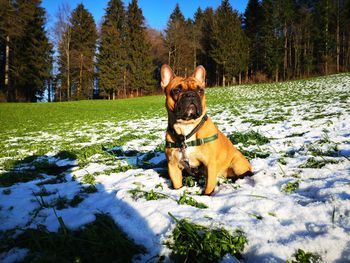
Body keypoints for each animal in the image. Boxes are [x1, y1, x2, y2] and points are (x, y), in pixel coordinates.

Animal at [160, 64, 253, 195]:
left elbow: (208, 186)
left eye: (200, 91)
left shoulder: (210, 164)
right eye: (176, 90)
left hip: (237, 163)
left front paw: (206, 196)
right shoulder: (173, 165)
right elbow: (177, 185)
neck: (186, 128)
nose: (191, 94)